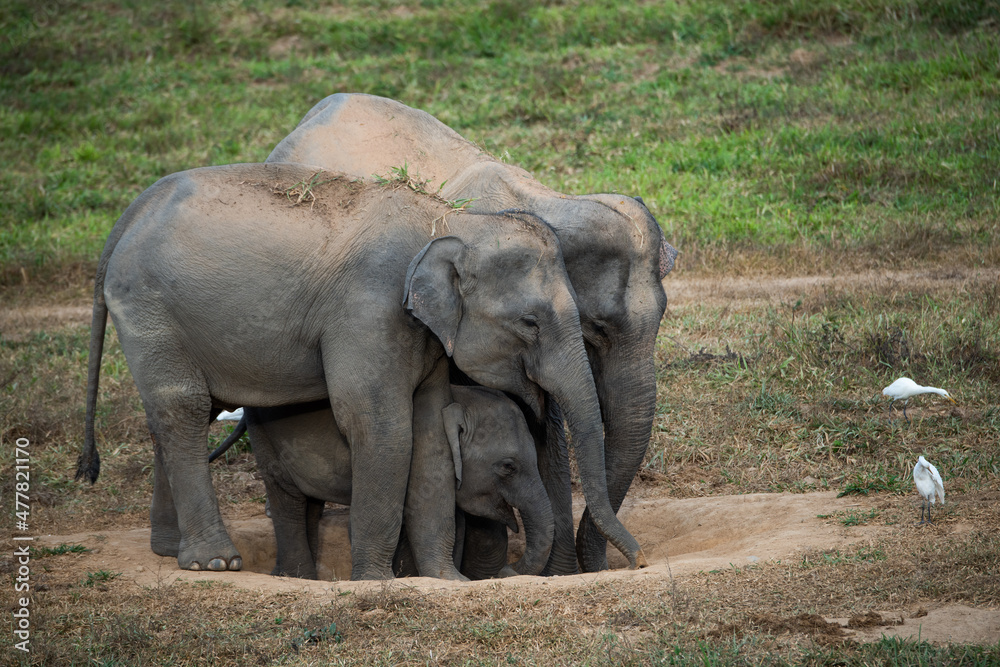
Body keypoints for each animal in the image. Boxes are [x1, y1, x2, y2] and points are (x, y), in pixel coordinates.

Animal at [246, 385, 553, 580]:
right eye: (508, 467)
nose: (507, 570)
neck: (459, 398)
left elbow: (455, 524)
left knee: (309, 504)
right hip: (264, 437)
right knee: (288, 498)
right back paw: (293, 576)